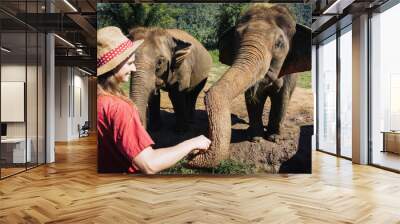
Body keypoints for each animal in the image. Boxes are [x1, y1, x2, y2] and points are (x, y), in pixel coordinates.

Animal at [188, 4, 312, 168]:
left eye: (279, 44)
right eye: (236, 38)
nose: (193, 153)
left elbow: (281, 97)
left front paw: (274, 139)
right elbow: (252, 99)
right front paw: (255, 139)